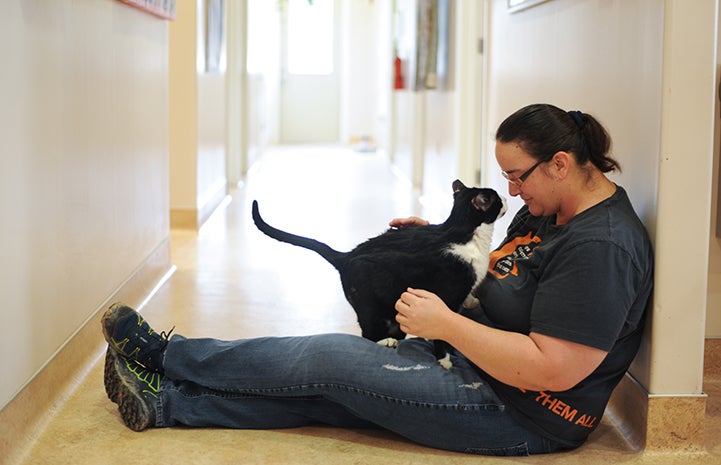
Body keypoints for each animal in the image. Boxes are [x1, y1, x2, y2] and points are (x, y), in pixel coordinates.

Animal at [253, 181, 506, 366]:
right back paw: (385, 341)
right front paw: (445, 361)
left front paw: (472, 301)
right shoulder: (446, 298)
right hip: (368, 305)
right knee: (367, 333)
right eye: (494, 198)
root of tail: (347, 256)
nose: (505, 197)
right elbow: (441, 333)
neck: (460, 231)